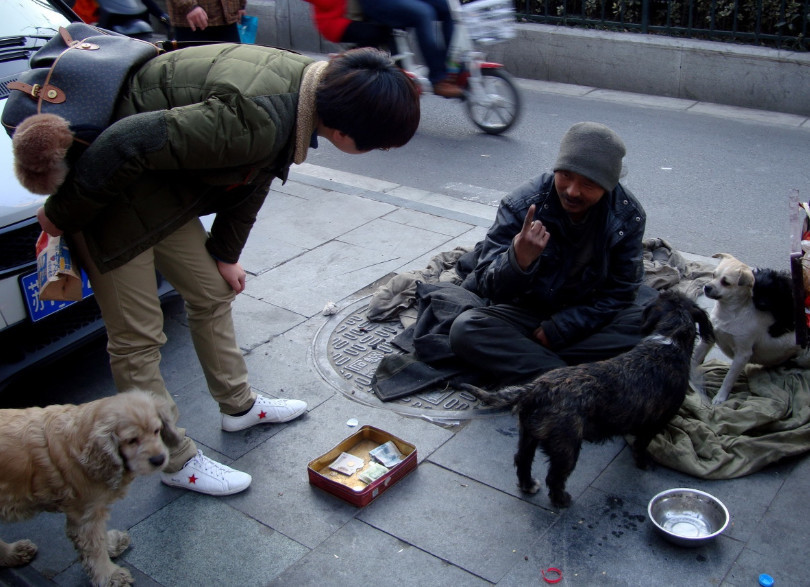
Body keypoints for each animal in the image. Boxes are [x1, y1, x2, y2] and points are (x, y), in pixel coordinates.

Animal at [0, 390, 180, 587]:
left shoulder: (95, 510)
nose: (159, 459)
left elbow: (99, 537)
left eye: (156, 430)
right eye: (132, 440)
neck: (82, 442)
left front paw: (110, 544)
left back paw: (14, 553)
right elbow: (94, 547)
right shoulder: (85, 515)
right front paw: (110, 575)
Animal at [460, 292, 712, 510]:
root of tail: (536, 388)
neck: (669, 339)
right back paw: (562, 500)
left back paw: (528, 486)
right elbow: (642, 445)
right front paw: (644, 463)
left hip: (528, 434)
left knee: (522, 460)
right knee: (555, 477)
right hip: (567, 446)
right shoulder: (656, 421)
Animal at [688, 253, 808, 404]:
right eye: (713, 275)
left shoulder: (742, 354)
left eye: (726, 282)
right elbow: (694, 359)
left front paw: (720, 398)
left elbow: (729, 378)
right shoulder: (709, 338)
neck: (728, 313)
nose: (706, 287)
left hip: (804, 355)